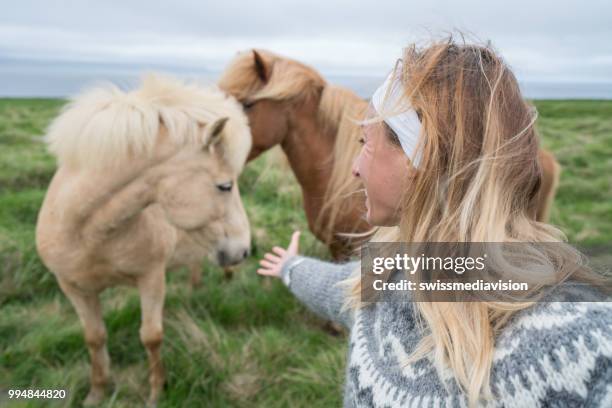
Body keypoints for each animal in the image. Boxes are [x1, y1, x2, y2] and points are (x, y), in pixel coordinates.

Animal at [35, 75, 252, 406]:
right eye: (225, 186)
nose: (243, 250)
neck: (88, 232)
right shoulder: (72, 287)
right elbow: (94, 338)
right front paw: (97, 392)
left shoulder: (151, 278)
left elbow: (151, 336)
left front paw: (156, 392)